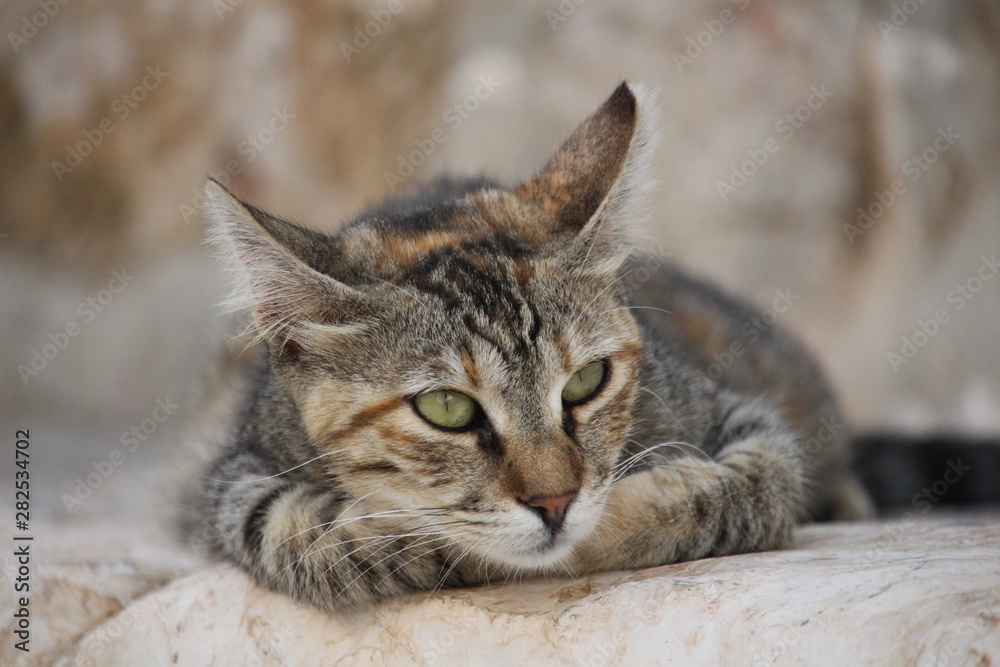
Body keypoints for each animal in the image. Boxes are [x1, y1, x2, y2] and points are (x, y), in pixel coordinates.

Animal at [195, 82, 868, 612]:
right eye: (446, 408)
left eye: (587, 382)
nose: (555, 502)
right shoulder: (234, 481)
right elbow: (318, 542)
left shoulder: (732, 413)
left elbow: (752, 484)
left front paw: (615, 519)